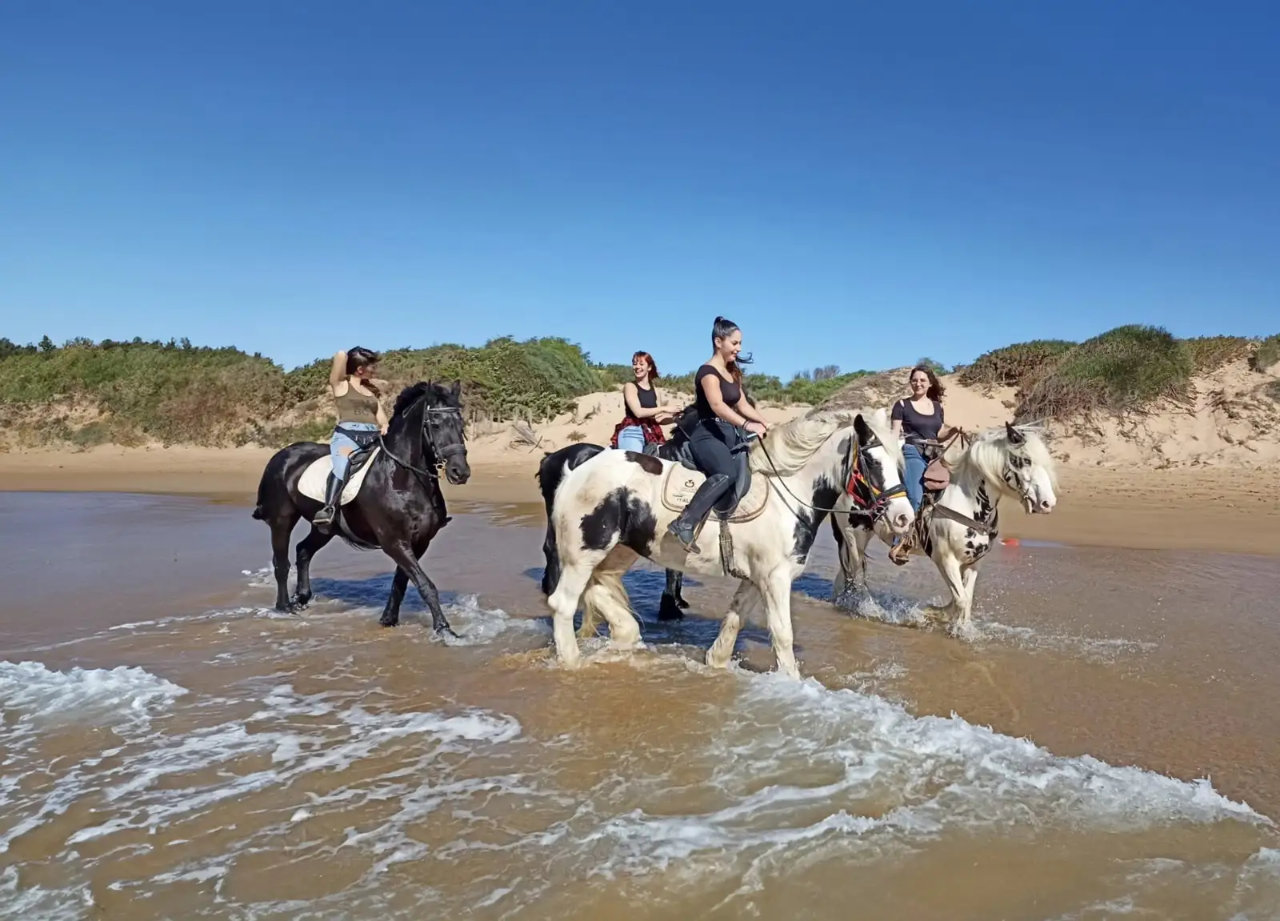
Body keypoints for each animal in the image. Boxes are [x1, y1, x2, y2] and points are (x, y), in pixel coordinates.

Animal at [251, 380, 470, 633]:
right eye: (434, 424)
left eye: (461, 424)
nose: (460, 472)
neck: (400, 479)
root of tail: (281, 455)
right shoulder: (394, 541)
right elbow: (425, 585)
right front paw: (445, 630)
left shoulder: (419, 542)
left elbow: (401, 583)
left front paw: (388, 620)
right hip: (282, 520)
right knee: (281, 563)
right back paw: (284, 607)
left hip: (324, 527)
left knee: (303, 551)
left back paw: (302, 597)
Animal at [543, 409, 913, 678]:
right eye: (872, 463)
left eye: (899, 464)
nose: (904, 518)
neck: (788, 496)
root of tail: (574, 469)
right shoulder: (775, 580)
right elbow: (783, 634)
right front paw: (793, 683)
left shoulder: (754, 579)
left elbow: (734, 622)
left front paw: (716, 663)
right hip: (584, 553)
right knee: (562, 602)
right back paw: (572, 663)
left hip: (617, 552)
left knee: (596, 588)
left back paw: (624, 637)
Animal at [830, 421, 1057, 632]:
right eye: (1025, 460)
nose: (1048, 503)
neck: (966, 501)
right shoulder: (946, 560)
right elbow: (961, 599)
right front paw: (949, 624)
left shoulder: (973, 563)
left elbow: (965, 599)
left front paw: (953, 623)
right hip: (854, 537)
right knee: (852, 575)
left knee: (843, 576)